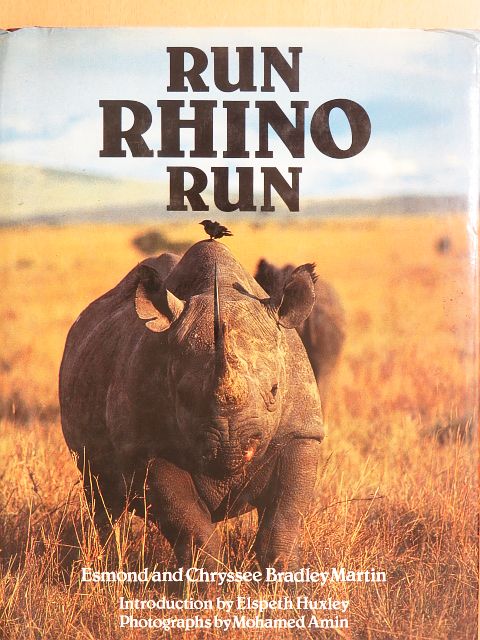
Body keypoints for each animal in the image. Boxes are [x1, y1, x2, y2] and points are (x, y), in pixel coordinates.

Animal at [59, 240, 323, 571]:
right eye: (182, 396)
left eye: (275, 392)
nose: (230, 447)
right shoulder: (147, 446)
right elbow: (189, 524)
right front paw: (204, 581)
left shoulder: (301, 433)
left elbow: (284, 517)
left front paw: (286, 577)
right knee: (101, 498)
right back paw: (103, 562)